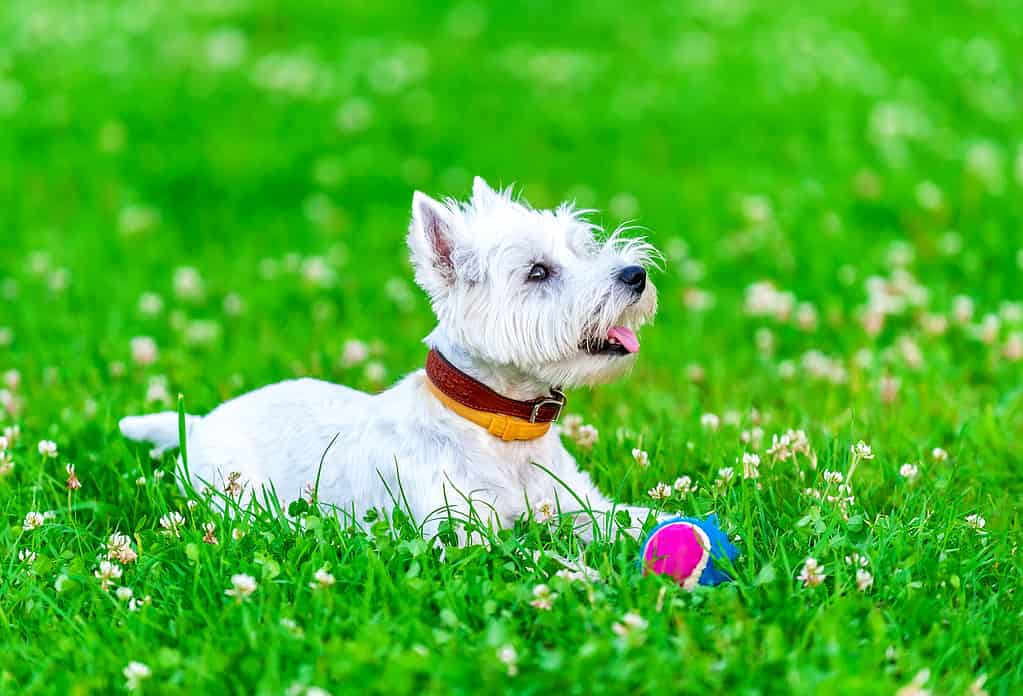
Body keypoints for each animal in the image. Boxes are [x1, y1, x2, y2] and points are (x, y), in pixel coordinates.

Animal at [119, 177, 662, 540]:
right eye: (537, 272)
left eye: (581, 248)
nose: (635, 275)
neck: (499, 426)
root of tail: (201, 422)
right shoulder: (462, 535)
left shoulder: (575, 503)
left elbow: (632, 518)